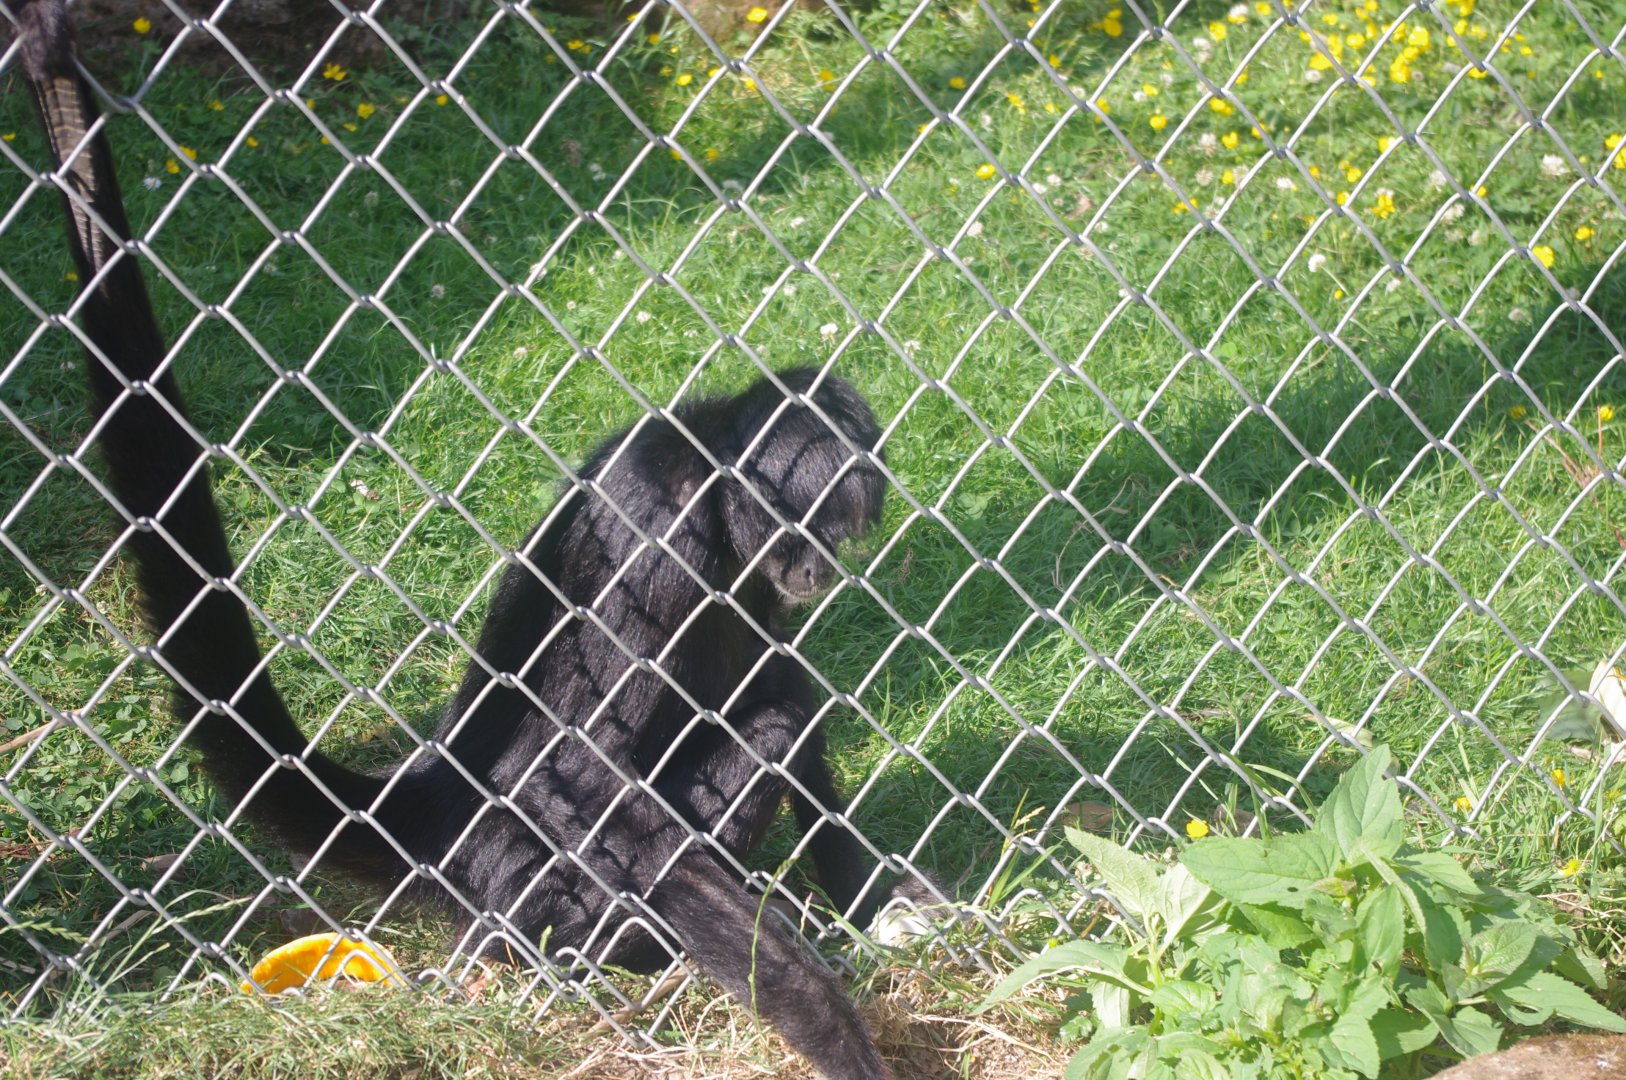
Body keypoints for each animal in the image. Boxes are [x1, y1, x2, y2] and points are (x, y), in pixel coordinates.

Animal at [14, 3, 930, 1076]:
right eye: (803, 522)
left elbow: (779, 673)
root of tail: (445, 798)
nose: (813, 563)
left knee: (781, 694)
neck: (706, 475)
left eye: (840, 529)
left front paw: (870, 906)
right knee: (757, 733)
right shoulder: (657, 536)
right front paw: (828, 1021)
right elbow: (592, 779)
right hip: (536, 888)